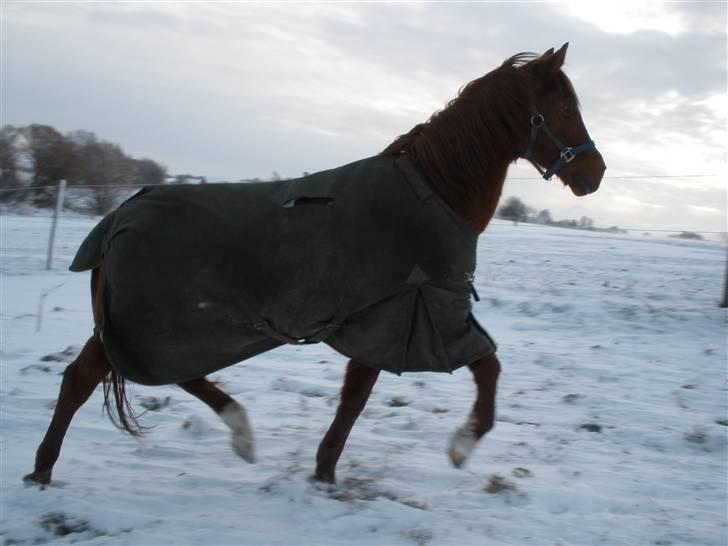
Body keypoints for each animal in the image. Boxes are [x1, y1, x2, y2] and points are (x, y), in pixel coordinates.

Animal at [22, 43, 604, 484]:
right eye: (565, 108)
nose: (594, 173)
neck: (435, 191)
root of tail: (121, 214)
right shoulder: (419, 315)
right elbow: (482, 370)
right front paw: (461, 447)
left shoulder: (387, 321)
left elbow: (355, 399)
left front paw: (324, 472)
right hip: (165, 323)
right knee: (96, 377)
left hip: (163, 326)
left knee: (132, 374)